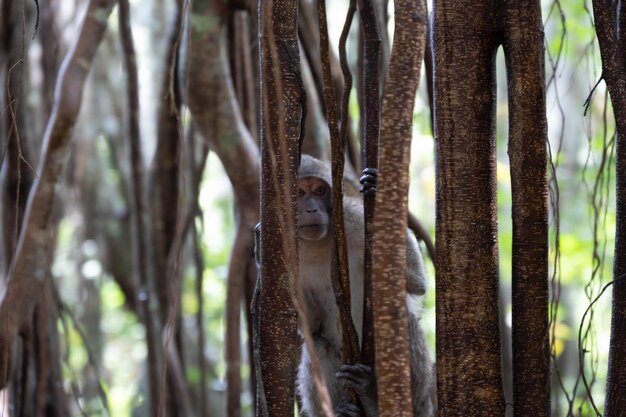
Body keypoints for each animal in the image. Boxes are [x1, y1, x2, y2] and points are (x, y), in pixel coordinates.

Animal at [294, 155, 432, 416]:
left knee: (404, 319)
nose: (311, 209)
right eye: (299, 192)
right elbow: (310, 326)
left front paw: (378, 197)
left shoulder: (352, 219)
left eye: (319, 191)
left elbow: (415, 282)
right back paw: (345, 411)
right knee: (316, 343)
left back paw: (374, 399)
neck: (319, 246)